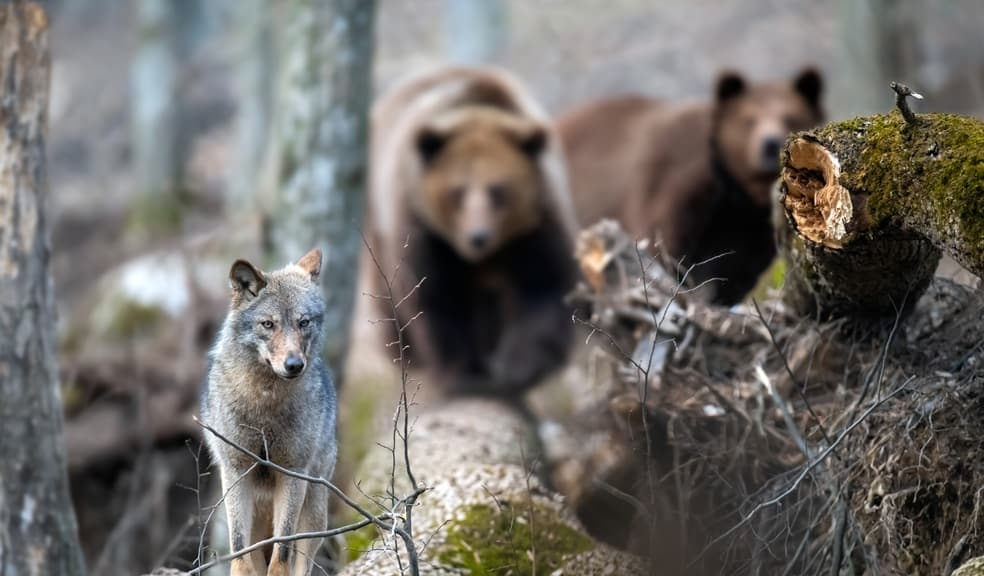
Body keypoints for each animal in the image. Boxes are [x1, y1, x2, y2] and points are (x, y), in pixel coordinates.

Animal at [200, 248, 337, 576]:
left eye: (303, 322)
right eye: (268, 324)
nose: (294, 365)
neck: (264, 402)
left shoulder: (293, 472)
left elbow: (282, 551)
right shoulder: (236, 470)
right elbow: (240, 551)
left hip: (314, 511)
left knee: (302, 561)